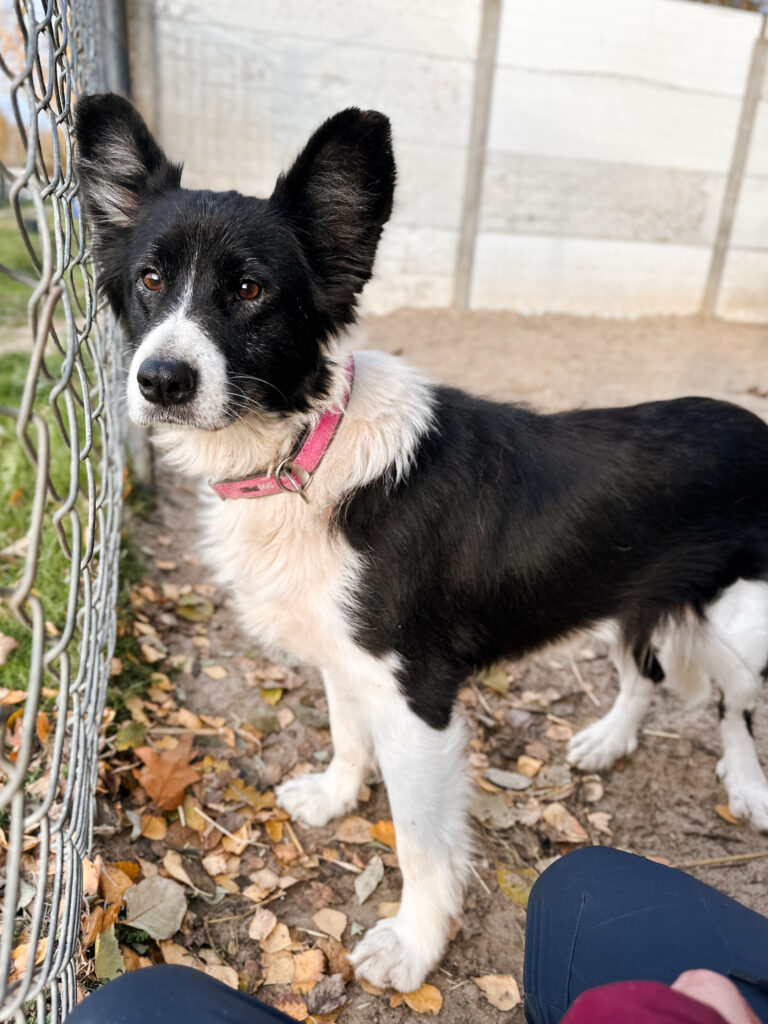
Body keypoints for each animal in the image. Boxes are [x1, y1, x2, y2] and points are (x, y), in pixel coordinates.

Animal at [75, 94, 768, 992]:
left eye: (251, 290)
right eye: (150, 280)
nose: (160, 381)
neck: (304, 453)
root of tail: (755, 423)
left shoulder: (418, 697)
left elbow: (420, 841)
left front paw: (414, 942)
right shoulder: (347, 655)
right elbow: (344, 731)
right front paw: (336, 796)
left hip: (743, 621)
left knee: (736, 700)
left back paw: (747, 783)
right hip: (628, 590)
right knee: (643, 671)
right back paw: (609, 739)